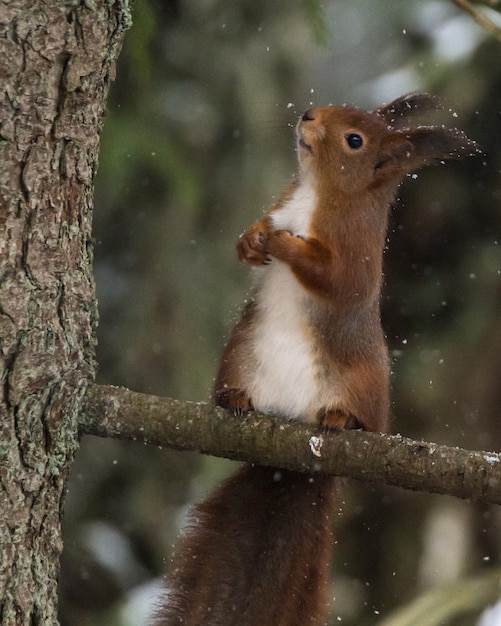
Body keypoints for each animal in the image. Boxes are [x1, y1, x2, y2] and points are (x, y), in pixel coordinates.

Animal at [153, 92, 476, 624]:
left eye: (354, 140)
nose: (307, 116)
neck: (314, 193)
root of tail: (290, 457)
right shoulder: (281, 202)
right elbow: (247, 241)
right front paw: (253, 239)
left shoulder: (356, 250)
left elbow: (337, 280)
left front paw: (284, 243)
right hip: (238, 356)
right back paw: (234, 399)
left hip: (364, 392)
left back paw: (342, 419)